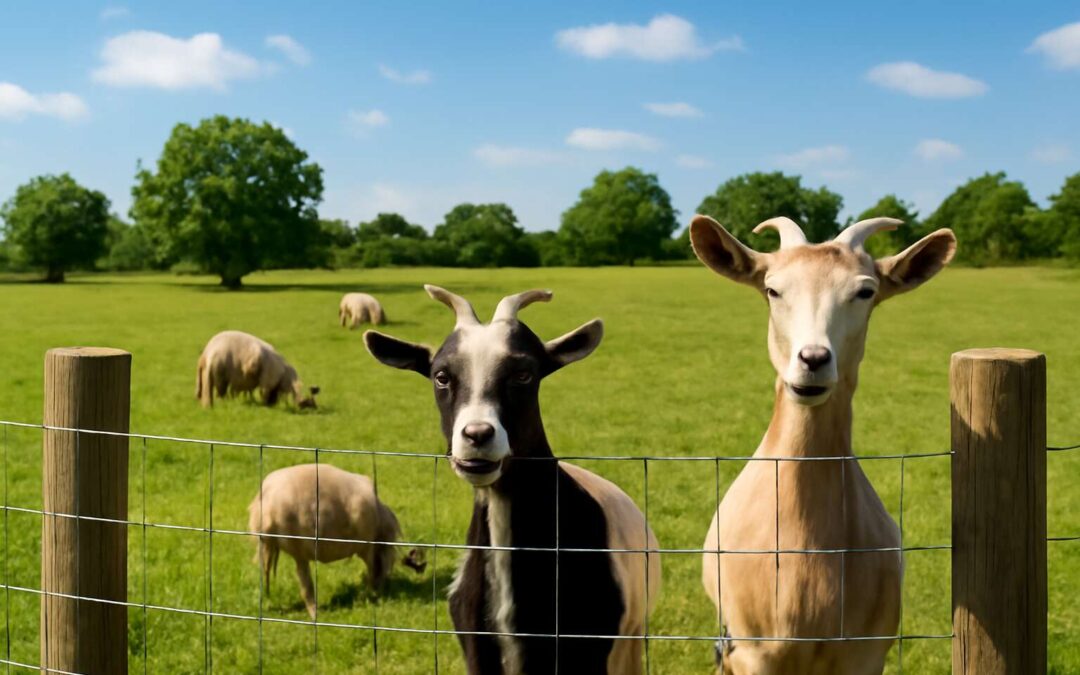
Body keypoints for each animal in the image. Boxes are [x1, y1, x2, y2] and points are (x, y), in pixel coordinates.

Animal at [248, 463, 427, 618]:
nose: (382, 590)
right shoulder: (368, 546)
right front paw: (369, 594)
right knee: (304, 580)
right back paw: (314, 612)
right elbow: (372, 568)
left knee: (273, 573)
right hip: (298, 546)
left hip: (279, 546)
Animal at [365, 285, 661, 675]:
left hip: (629, 641)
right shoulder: (476, 647)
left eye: (524, 374)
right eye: (441, 376)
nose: (477, 435)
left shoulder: (589, 647)